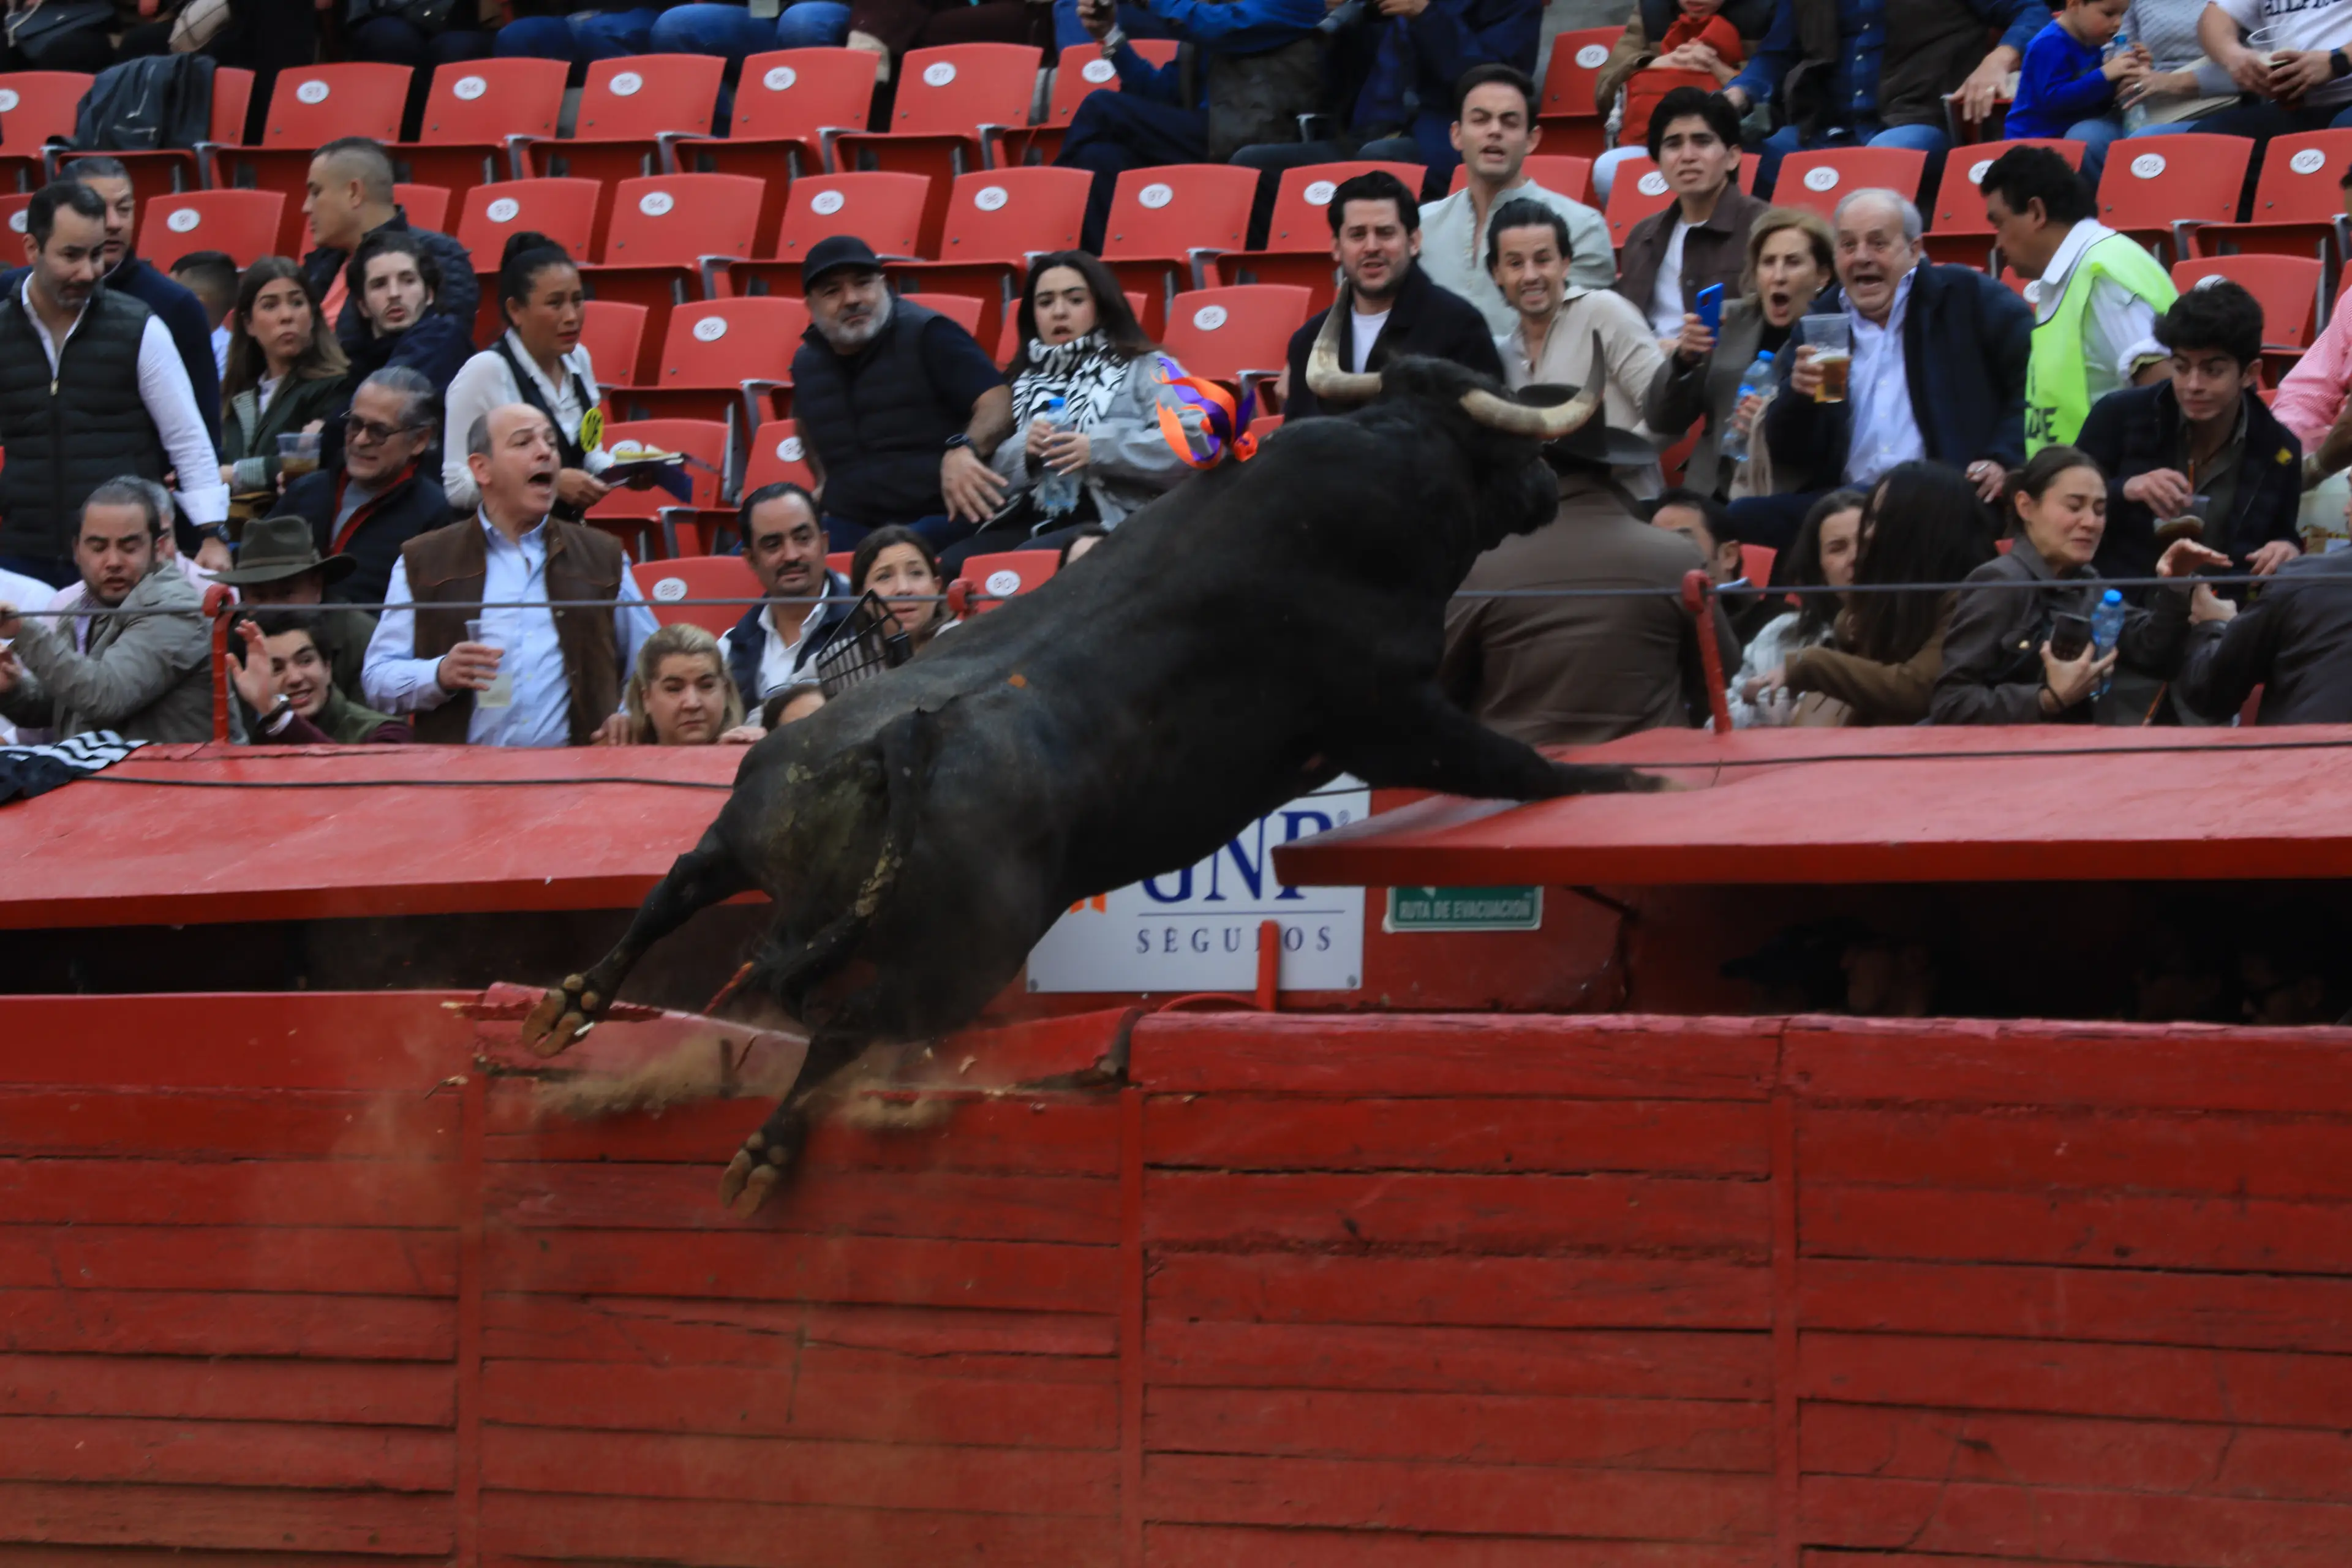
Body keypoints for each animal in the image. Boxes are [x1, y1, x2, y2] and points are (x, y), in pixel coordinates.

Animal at [523, 304, 1665, 1215]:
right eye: (1498, 443)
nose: (1550, 486)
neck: (1389, 460)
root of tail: (899, 738)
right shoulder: (1388, 709)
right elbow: (1509, 760)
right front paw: (1622, 777)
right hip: (960, 960)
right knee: (847, 1029)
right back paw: (761, 1149)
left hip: (749, 832)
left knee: (677, 887)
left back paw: (572, 1006)